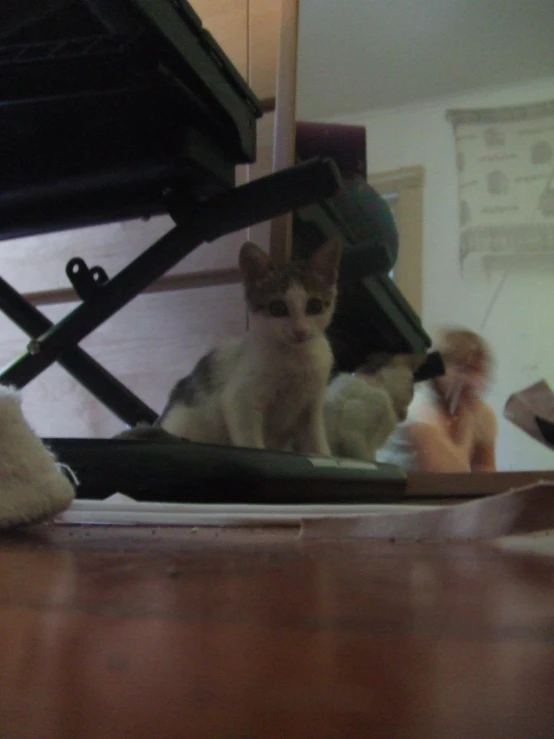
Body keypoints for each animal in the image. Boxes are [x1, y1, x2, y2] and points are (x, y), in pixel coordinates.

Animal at [154, 240, 340, 454]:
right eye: (278, 308)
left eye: (314, 306)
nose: (300, 331)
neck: (297, 356)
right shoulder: (240, 402)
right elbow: (252, 442)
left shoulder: (310, 409)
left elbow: (318, 446)